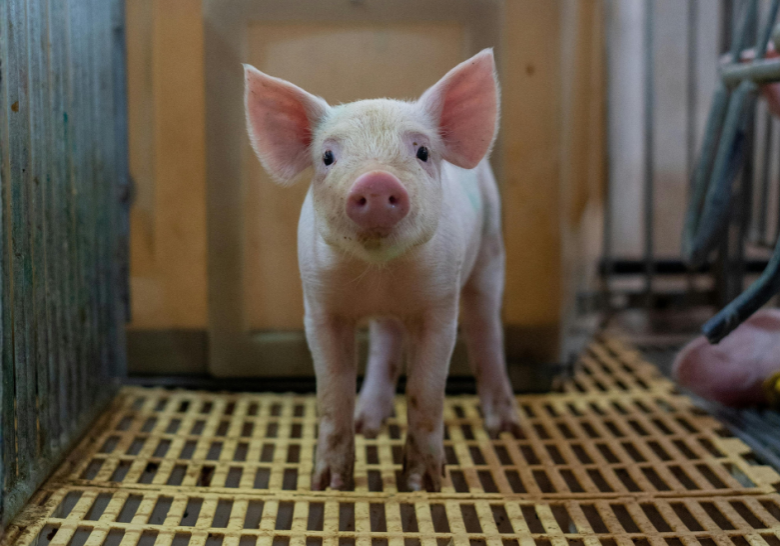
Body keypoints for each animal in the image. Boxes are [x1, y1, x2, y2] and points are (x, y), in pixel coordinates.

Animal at [243, 49, 520, 492]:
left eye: (422, 152)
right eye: (327, 156)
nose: (375, 181)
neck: (380, 274)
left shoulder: (440, 304)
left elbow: (426, 390)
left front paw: (422, 485)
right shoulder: (318, 305)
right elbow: (332, 393)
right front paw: (328, 485)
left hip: (491, 250)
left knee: (486, 330)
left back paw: (505, 428)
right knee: (386, 340)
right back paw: (368, 424)